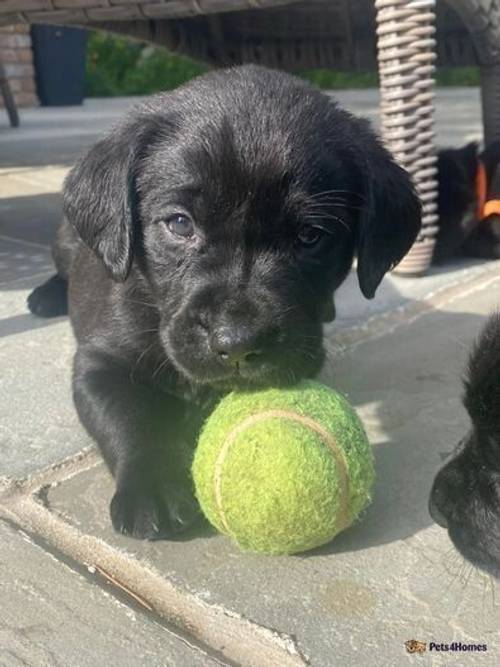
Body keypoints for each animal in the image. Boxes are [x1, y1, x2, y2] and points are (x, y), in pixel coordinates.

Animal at [26, 65, 418, 540]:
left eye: (311, 236)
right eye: (180, 224)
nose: (238, 343)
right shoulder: (99, 364)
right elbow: (130, 418)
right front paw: (154, 483)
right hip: (68, 239)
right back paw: (46, 295)